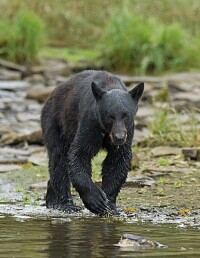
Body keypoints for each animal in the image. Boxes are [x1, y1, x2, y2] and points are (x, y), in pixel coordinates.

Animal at [41, 70, 144, 216]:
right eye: (110, 116)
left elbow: (117, 161)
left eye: (126, 115)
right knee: (58, 158)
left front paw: (109, 205)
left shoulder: (128, 132)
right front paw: (96, 200)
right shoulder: (90, 122)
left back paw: (52, 200)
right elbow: (79, 154)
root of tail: (51, 95)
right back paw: (65, 204)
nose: (119, 137)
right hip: (55, 122)